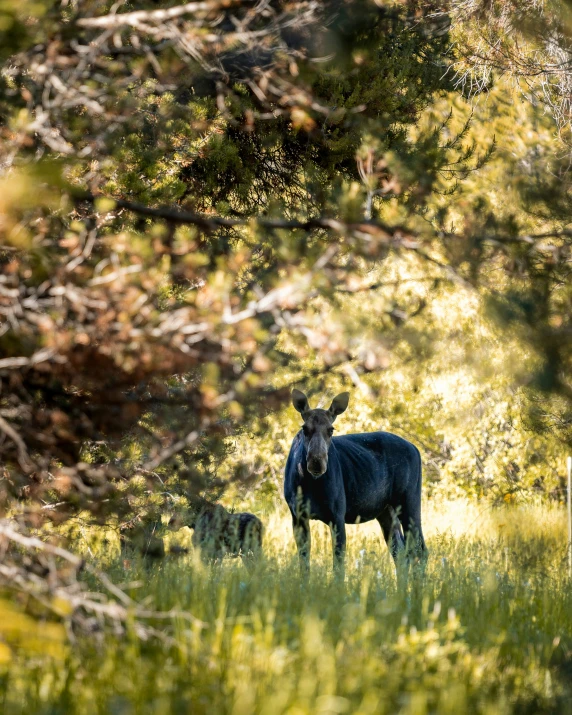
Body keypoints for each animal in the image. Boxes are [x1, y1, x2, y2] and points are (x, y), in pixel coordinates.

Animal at [284, 388, 424, 580]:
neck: (309, 483)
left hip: (409, 501)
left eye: (331, 429)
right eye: (305, 428)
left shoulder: (337, 514)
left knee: (419, 549)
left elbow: (338, 564)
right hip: (386, 511)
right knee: (401, 553)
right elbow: (304, 562)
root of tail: (416, 449)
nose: (316, 462)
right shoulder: (297, 516)